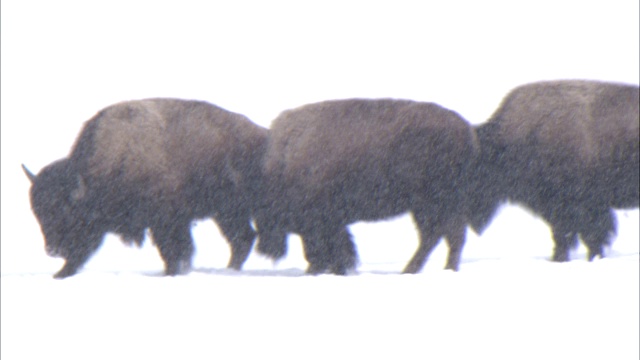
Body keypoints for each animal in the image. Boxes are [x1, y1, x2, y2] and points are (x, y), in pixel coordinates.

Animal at [21, 98, 268, 278]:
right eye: (38, 213)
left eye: (66, 211)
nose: (52, 250)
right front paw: (61, 274)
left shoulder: (168, 222)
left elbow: (175, 250)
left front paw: (172, 273)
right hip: (226, 214)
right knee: (243, 238)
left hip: (230, 212)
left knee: (242, 238)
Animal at [255, 97, 480, 274]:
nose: (262, 249)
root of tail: (467, 130)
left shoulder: (320, 220)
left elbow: (325, 246)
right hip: (432, 206)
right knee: (442, 236)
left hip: (433, 203)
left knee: (442, 235)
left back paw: (425, 269)